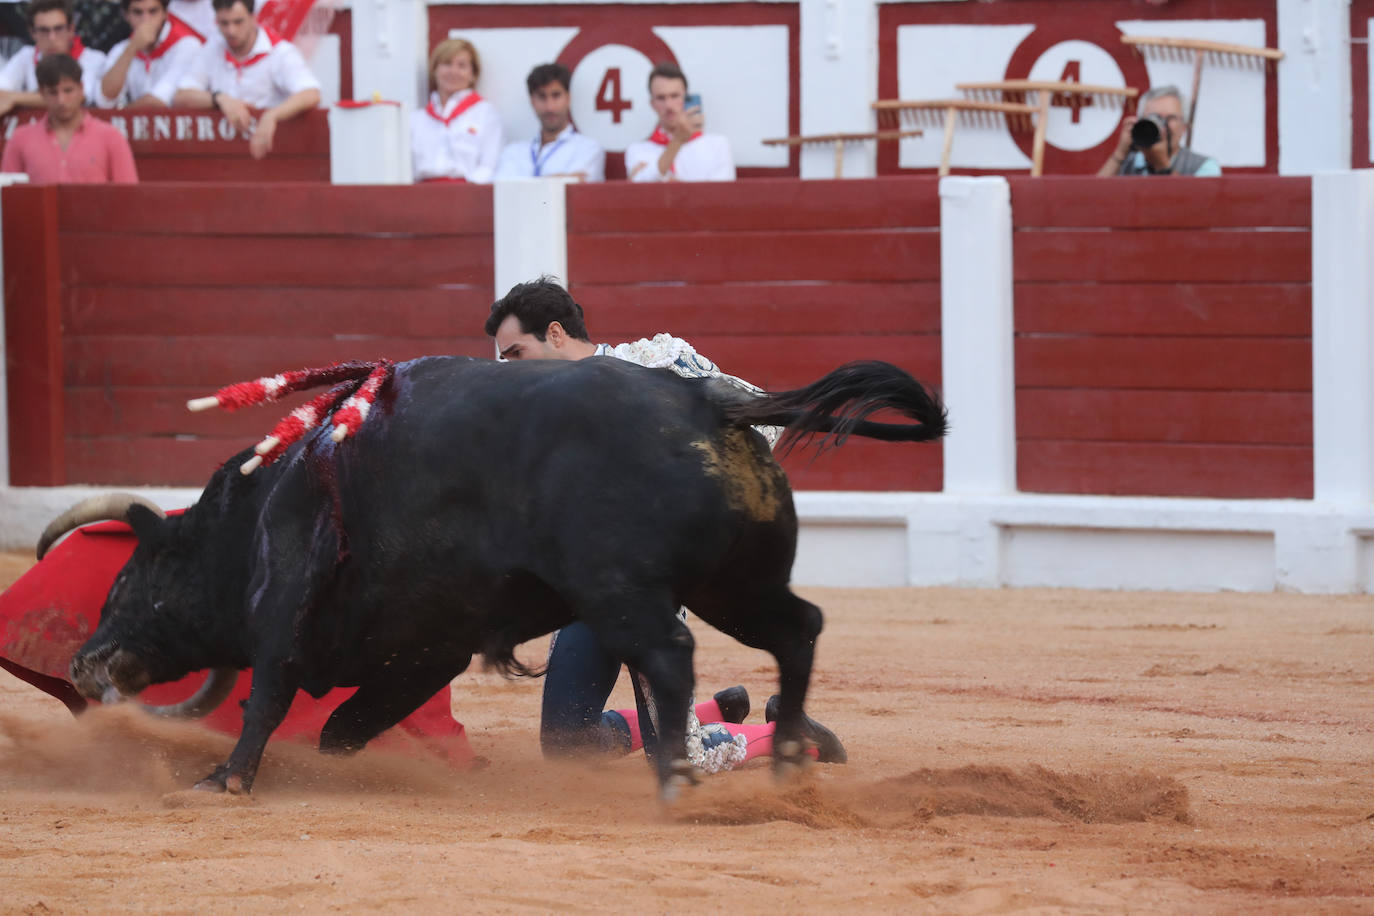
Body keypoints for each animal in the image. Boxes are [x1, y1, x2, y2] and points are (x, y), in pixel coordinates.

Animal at [61, 354, 945, 796]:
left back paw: (681, 773)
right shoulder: (424, 648)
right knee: (797, 629)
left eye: (127, 583)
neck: (255, 511)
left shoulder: (285, 601)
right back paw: (791, 750)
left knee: (669, 656)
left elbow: (269, 693)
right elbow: (346, 725)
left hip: (622, 589)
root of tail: (707, 402)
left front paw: (225, 780)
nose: (83, 661)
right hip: (734, 584)